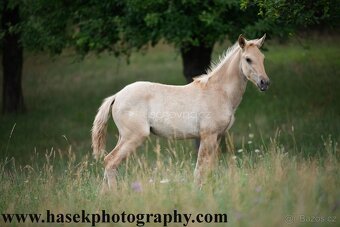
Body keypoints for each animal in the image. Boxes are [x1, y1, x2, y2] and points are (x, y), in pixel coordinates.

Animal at [91, 34, 270, 190]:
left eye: (262, 58)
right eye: (248, 59)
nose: (265, 83)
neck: (218, 92)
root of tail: (117, 96)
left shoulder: (217, 137)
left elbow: (209, 169)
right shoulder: (207, 136)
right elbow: (199, 170)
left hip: (124, 137)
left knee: (108, 163)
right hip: (134, 137)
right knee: (110, 161)